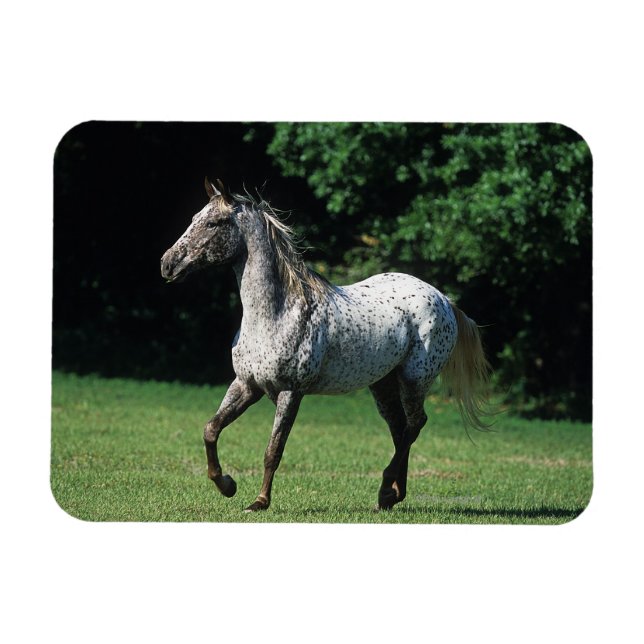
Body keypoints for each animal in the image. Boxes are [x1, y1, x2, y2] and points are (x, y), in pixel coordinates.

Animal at [161, 178, 491, 512]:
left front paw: (259, 501)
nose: (167, 264)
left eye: (214, 223)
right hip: (383, 384)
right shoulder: (246, 385)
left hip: (414, 380)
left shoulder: (290, 392)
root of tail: (444, 299)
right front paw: (227, 485)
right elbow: (210, 429)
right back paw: (392, 495)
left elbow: (273, 450)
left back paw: (387, 489)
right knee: (400, 429)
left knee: (415, 424)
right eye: (194, 218)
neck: (276, 313)